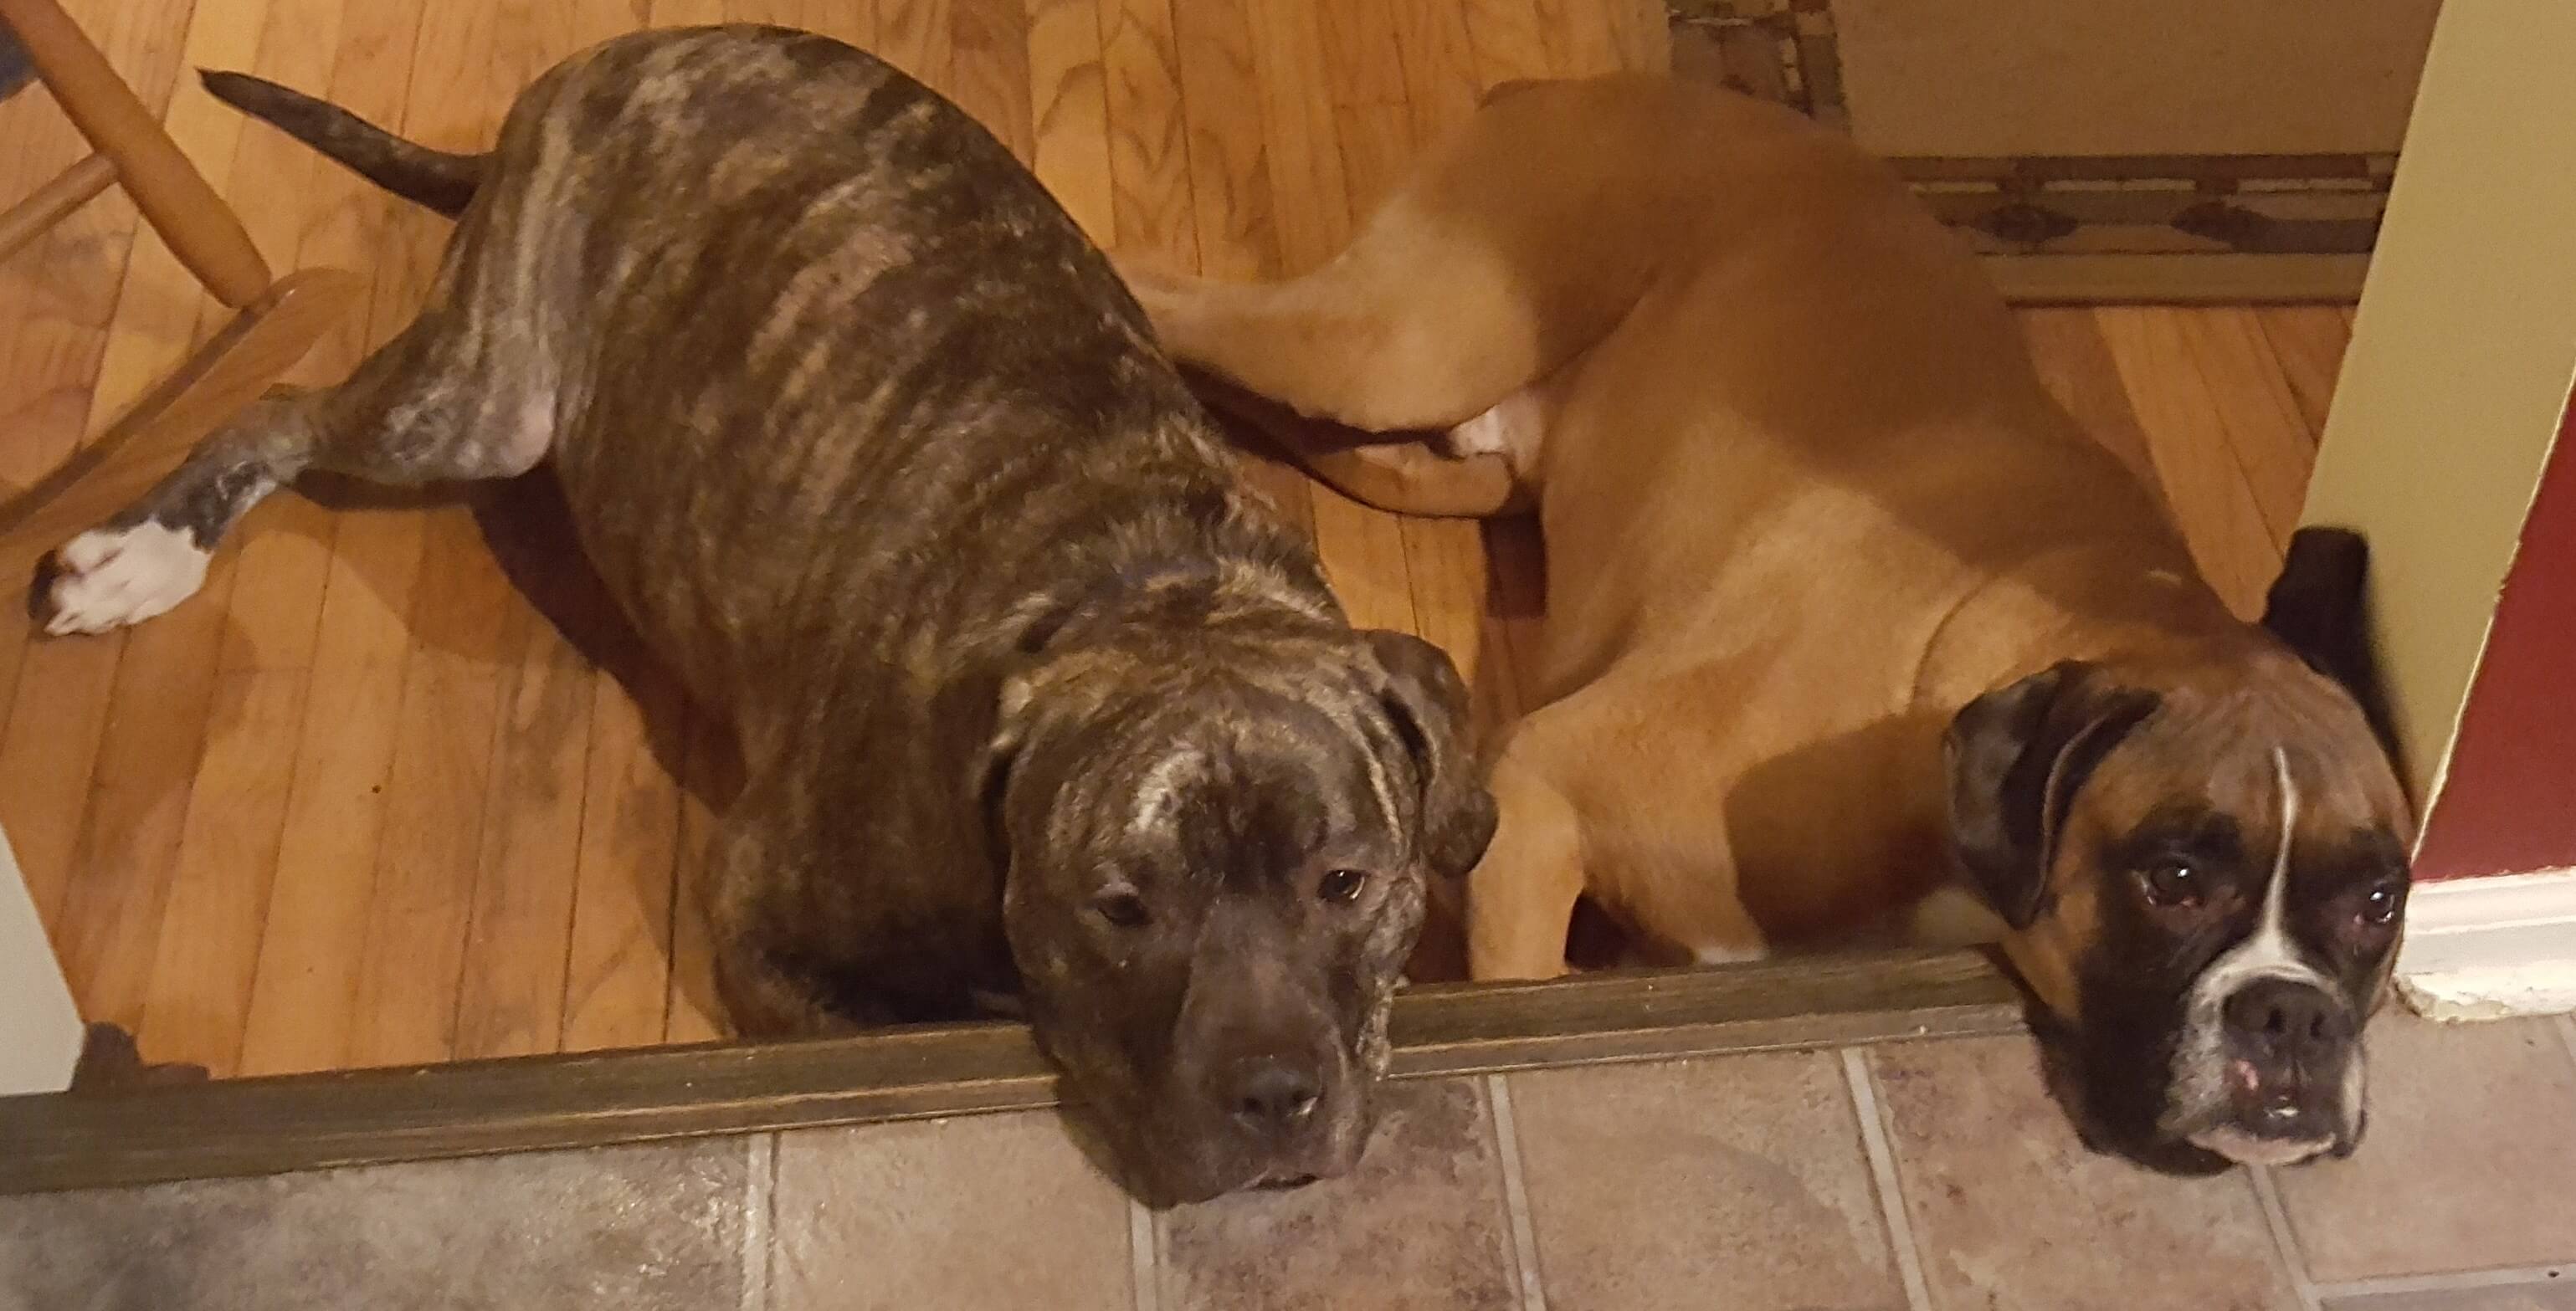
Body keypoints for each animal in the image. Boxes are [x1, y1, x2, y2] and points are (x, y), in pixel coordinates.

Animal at [25, 23, 1494, 1205]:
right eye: (1120, 906)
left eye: (1347, 882)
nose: (1272, 1096)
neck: (1140, 581)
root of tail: (608, 59)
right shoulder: (764, 933)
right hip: (489, 401)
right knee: (282, 413)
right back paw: (134, 560)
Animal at [1128, 76, 2411, 1169]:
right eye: (2174, 875)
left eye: (2379, 904)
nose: (2292, 1015)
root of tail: (1610, 86)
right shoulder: (1541, 783)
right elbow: (1521, 982)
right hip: (1394, 347)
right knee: (1171, 297)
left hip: (1427, 451)